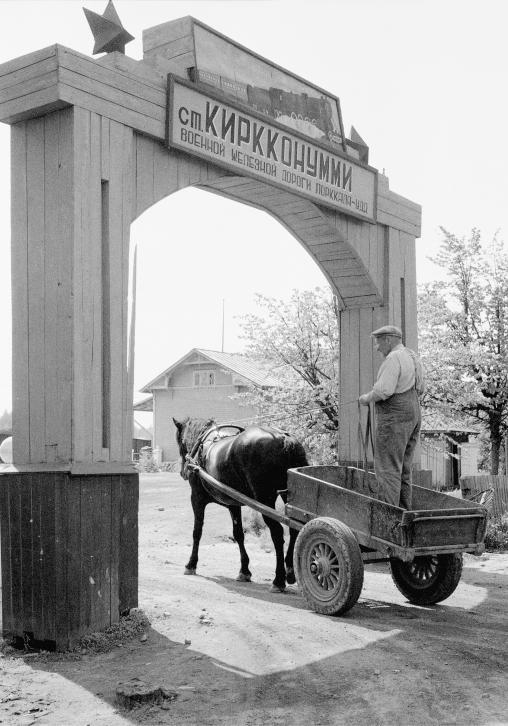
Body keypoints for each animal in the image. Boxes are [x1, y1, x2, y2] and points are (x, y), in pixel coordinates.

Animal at [175, 418, 308, 596]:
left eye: (180, 442)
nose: (183, 472)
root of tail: (282, 438)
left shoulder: (196, 499)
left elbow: (197, 532)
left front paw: (191, 564)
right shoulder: (233, 504)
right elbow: (238, 534)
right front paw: (244, 571)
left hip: (265, 500)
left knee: (277, 533)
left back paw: (278, 580)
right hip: (289, 496)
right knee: (294, 529)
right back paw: (290, 571)